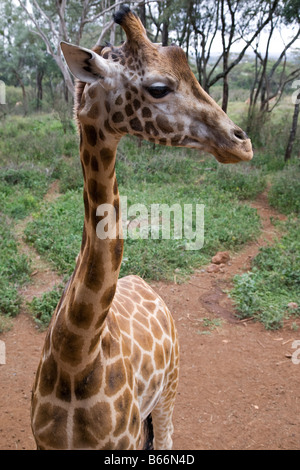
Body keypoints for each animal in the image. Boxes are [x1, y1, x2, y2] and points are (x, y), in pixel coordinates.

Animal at [30, 5, 252, 450]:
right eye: (159, 87)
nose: (242, 142)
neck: (76, 359)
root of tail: (146, 284)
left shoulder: (127, 441)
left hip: (169, 390)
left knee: (166, 438)